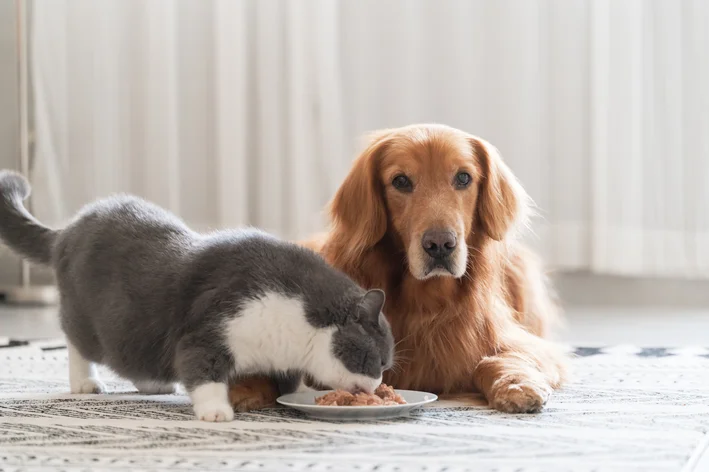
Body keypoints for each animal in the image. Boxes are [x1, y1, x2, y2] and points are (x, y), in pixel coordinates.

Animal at [0, 171, 392, 422]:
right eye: (378, 361)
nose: (378, 386)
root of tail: (67, 229)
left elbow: (282, 381)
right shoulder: (208, 330)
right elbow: (203, 369)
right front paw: (216, 411)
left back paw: (153, 382)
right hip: (88, 320)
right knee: (78, 342)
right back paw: (85, 382)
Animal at [230, 123, 568, 412]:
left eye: (463, 178)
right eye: (401, 181)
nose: (440, 245)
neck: (425, 302)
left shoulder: (522, 343)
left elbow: (496, 359)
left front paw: (516, 385)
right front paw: (245, 386)